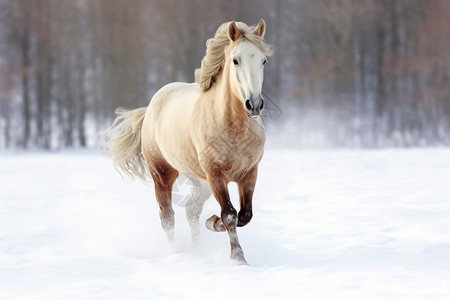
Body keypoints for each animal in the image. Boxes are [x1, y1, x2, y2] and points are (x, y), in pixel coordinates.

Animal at [103, 18, 270, 264]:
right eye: (235, 60)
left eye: (263, 60)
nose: (254, 105)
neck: (233, 128)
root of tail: (152, 105)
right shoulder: (215, 174)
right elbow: (230, 214)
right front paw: (238, 258)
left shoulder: (249, 173)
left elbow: (244, 215)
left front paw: (213, 223)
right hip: (163, 174)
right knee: (167, 216)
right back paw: (175, 253)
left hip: (199, 181)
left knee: (192, 211)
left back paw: (198, 249)